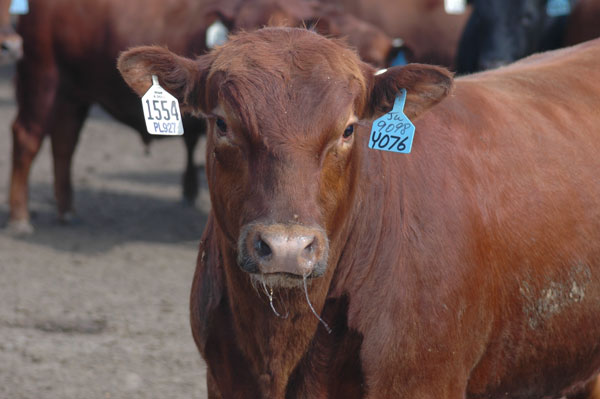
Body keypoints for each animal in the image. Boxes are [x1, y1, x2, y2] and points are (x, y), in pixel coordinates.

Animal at [5, 0, 398, 234]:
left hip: (72, 93)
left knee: (64, 141)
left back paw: (66, 208)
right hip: (41, 77)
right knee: (27, 136)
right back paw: (20, 215)